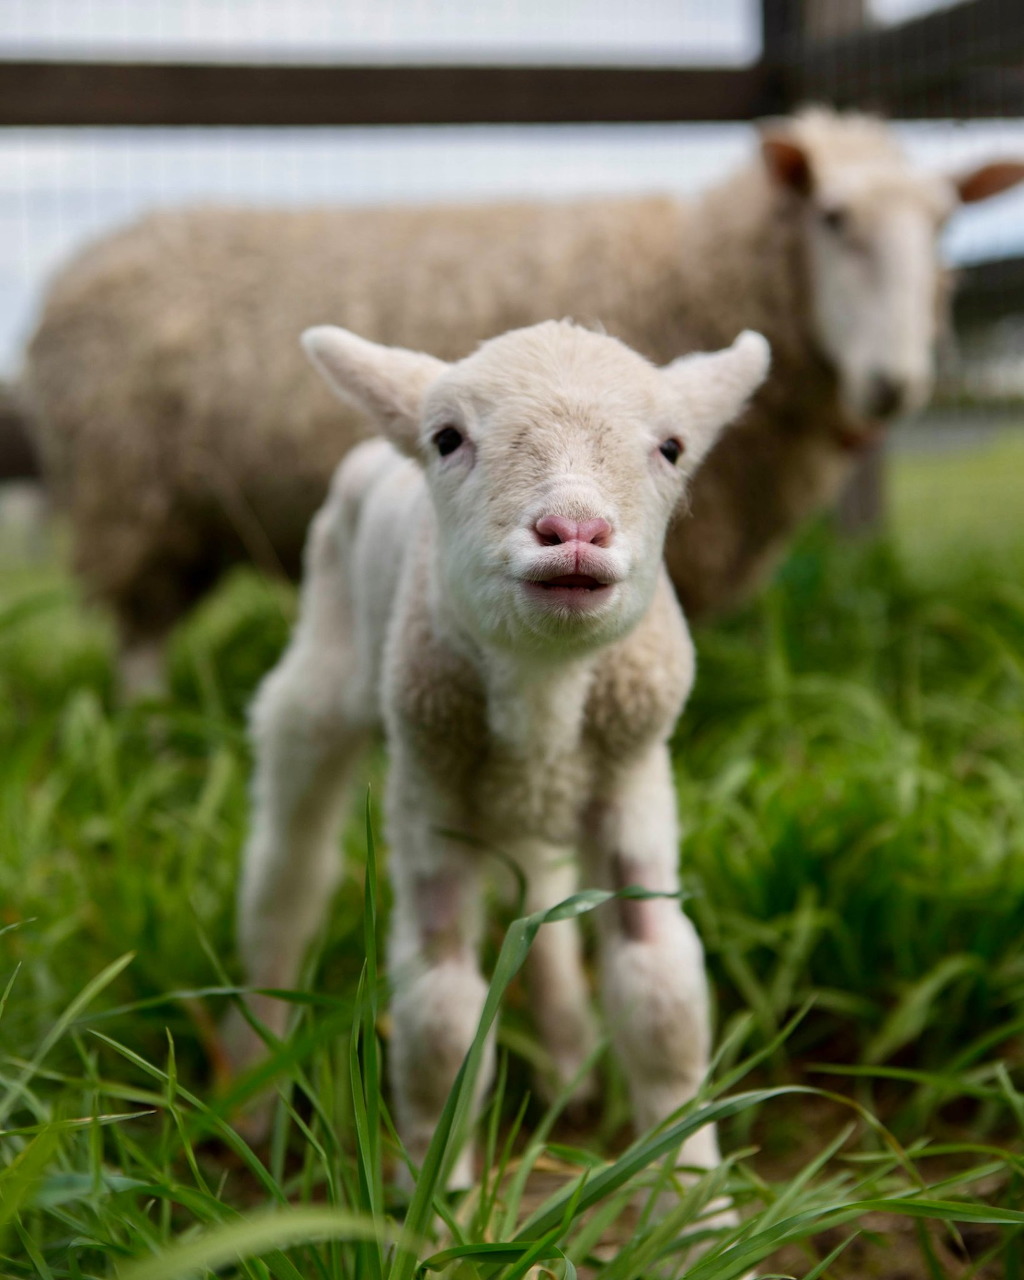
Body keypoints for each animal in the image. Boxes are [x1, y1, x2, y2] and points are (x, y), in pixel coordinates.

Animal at [19, 109, 1024, 691]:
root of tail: (83, 265)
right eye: (832, 218)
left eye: (944, 227)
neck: (692, 268)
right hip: (130, 494)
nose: (895, 384)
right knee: (139, 635)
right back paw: (146, 730)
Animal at [225, 318, 771, 1202]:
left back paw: (570, 1061)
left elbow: (662, 999)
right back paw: (251, 1085)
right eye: (447, 438)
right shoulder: (429, 803)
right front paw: (432, 1198)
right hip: (315, 689)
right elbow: (441, 1021)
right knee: (286, 874)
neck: (543, 680)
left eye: (673, 447)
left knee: (540, 893)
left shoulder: (633, 788)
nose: (574, 533)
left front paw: (694, 1202)